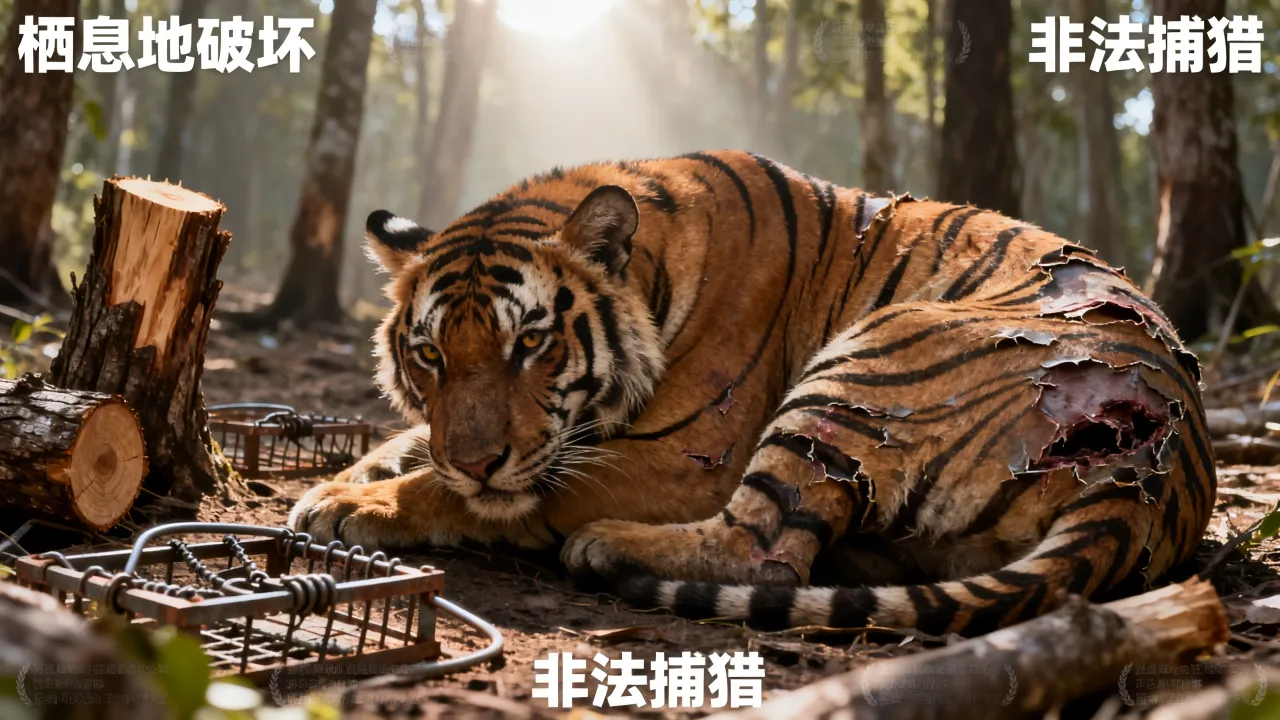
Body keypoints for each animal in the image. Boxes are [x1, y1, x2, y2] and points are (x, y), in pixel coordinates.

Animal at [289, 150, 1214, 637]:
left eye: (532, 344)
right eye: (429, 356)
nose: (478, 460)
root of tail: (1156, 474)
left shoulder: (679, 459)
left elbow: (480, 493)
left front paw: (361, 506)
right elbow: (410, 445)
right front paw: (336, 483)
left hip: (873, 357)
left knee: (761, 546)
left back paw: (605, 545)